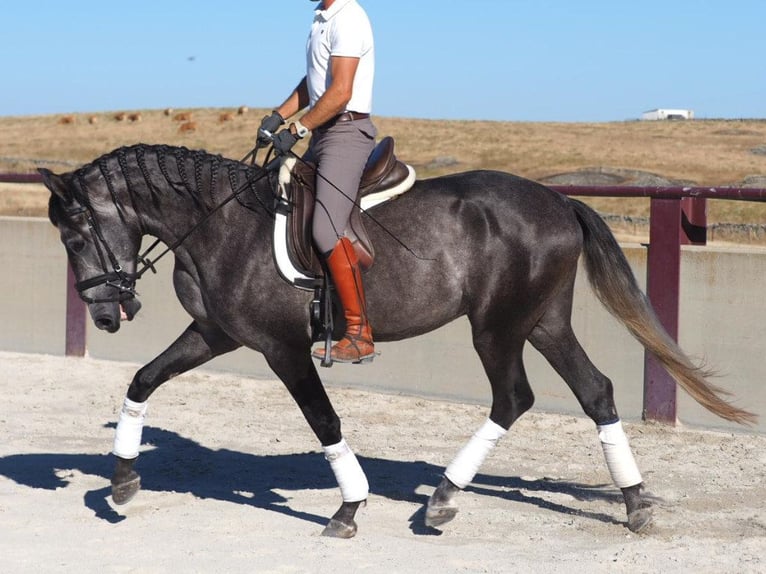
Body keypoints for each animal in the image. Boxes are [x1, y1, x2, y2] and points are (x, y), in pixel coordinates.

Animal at [39, 143, 752, 540]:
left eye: (74, 236)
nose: (104, 315)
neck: (220, 225)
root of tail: (558, 200)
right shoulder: (216, 334)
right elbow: (142, 380)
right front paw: (122, 481)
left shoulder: (282, 349)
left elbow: (325, 422)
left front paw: (349, 508)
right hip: (544, 321)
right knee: (595, 391)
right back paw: (634, 505)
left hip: (497, 326)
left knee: (513, 398)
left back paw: (441, 499)